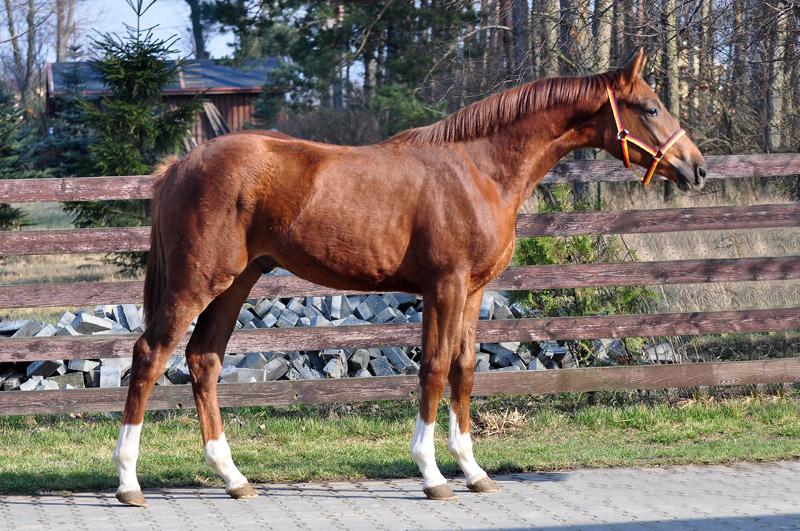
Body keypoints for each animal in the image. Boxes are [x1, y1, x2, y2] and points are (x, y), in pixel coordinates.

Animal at [112, 48, 706, 506]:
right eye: (650, 106)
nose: (697, 167)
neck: (479, 170)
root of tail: (179, 167)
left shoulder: (472, 291)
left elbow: (464, 369)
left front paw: (474, 472)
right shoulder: (444, 287)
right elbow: (435, 369)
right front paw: (432, 475)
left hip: (235, 284)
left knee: (203, 361)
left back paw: (233, 478)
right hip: (197, 283)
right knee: (150, 355)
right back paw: (128, 483)